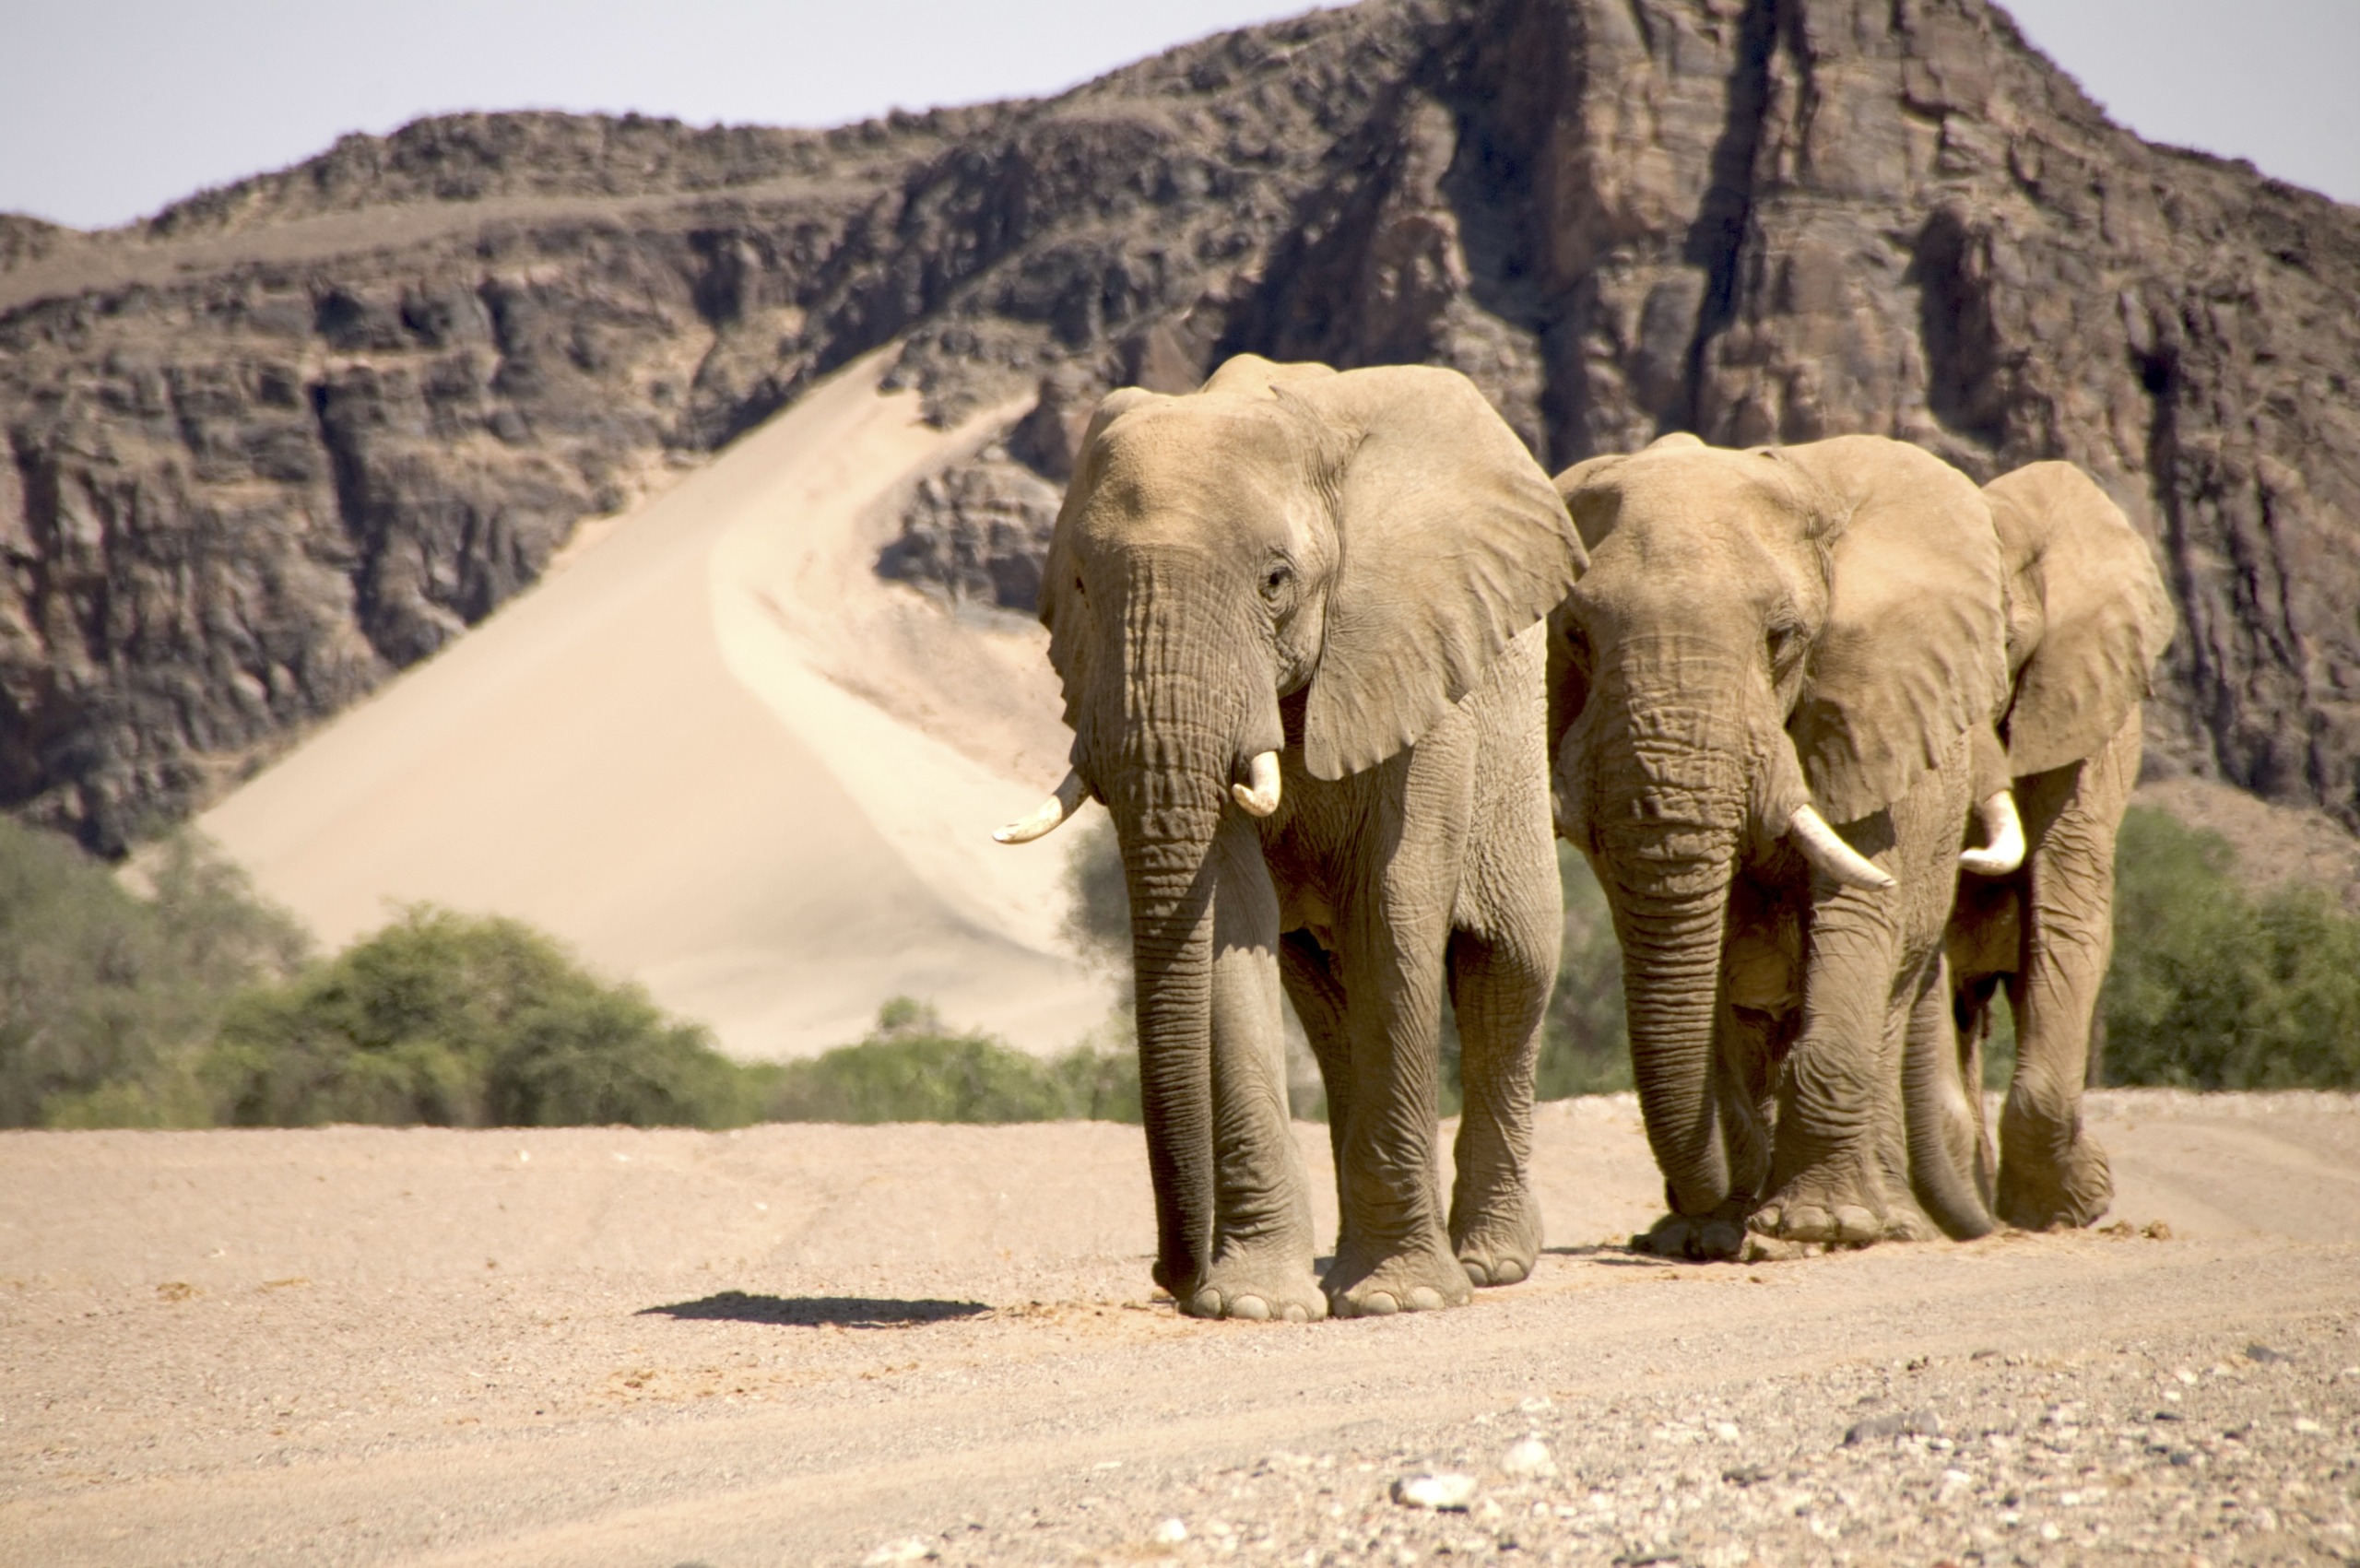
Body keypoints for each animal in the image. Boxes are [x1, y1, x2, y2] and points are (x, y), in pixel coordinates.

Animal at [996, 351, 1586, 1313]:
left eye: (1276, 580)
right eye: (1080, 586)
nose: (1169, 1274)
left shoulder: (1415, 661)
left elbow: (1396, 903)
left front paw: (1401, 1301)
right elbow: (1229, 920)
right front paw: (1253, 1303)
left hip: (1512, 739)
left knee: (1511, 962)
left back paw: (1488, 1261)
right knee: (1329, 998)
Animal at [1548, 431, 2011, 1266]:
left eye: (1783, 638)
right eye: (1575, 635)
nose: (1707, 1203)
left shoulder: (1869, 719)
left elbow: (1861, 906)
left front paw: (1817, 1229)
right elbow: (1704, 968)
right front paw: (1717, 1232)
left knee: (1886, 993)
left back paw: (1884, 1221)